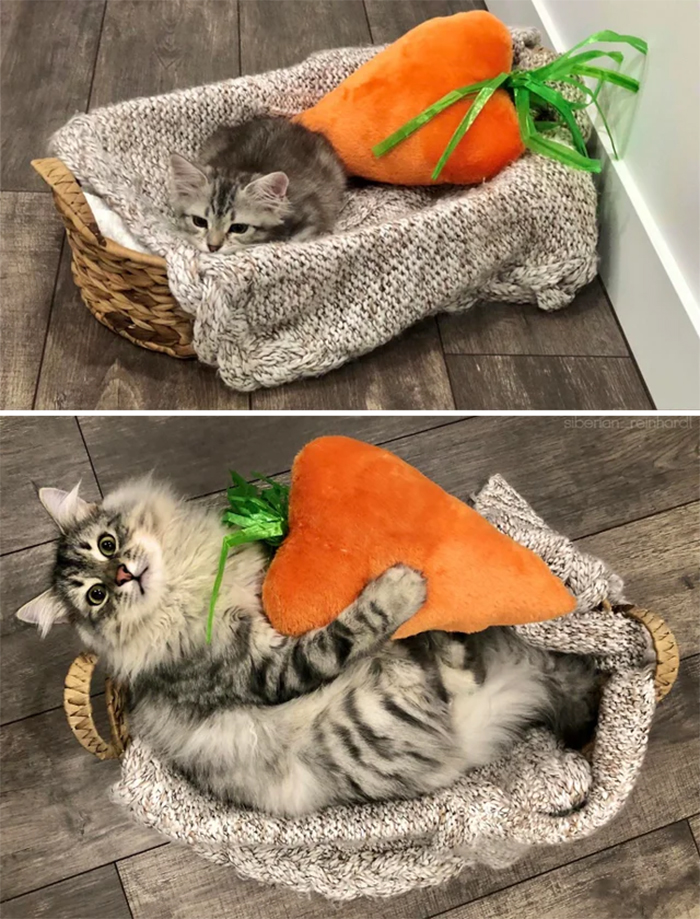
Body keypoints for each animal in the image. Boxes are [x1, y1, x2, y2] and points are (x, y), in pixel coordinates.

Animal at [16, 482, 600, 820]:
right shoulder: (263, 668)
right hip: (380, 700)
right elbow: (341, 632)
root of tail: (466, 743)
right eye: (95, 596)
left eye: (107, 545)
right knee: (446, 671)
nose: (123, 576)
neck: (184, 586)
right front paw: (399, 588)